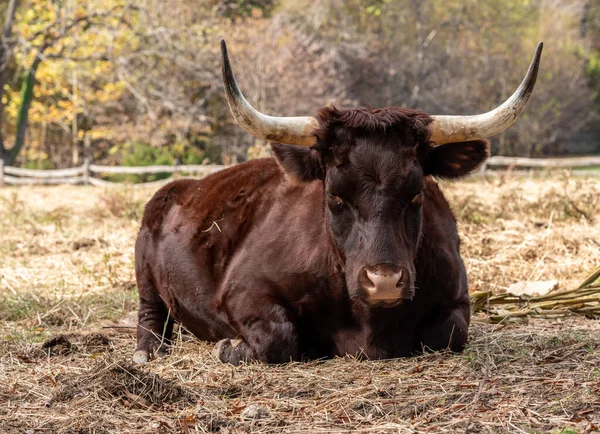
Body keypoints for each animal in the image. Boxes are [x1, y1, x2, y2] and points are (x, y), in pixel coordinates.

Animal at [132, 41, 544, 366]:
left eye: (417, 194)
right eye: (334, 196)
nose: (384, 281)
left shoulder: (458, 299)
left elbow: (448, 333)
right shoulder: (242, 290)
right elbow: (278, 337)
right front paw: (231, 347)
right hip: (144, 268)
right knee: (150, 315)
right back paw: (147, 351)